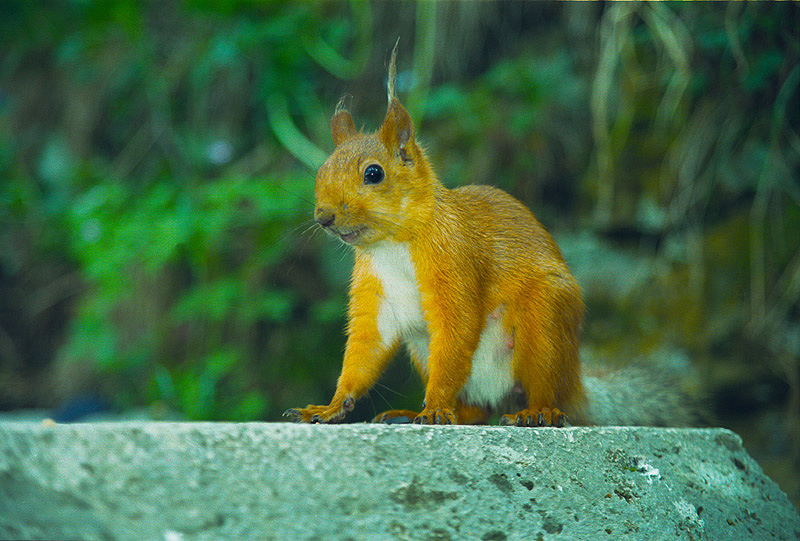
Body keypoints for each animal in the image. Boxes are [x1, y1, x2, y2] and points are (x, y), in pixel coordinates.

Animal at [286, 45, 692, 426]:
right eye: (321, 170)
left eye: (373, 174)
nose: (323, 217)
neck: (391, 246)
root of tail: (574, 382)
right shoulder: (375, 296)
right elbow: (365, 351)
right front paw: (330, 407)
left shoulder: (455, 261)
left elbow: (458, 330)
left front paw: (435, 407)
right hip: (422, 348)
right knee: (477, 411)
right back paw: (414, 413)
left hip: (544, 322)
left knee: (542, 390)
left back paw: (536, 412)